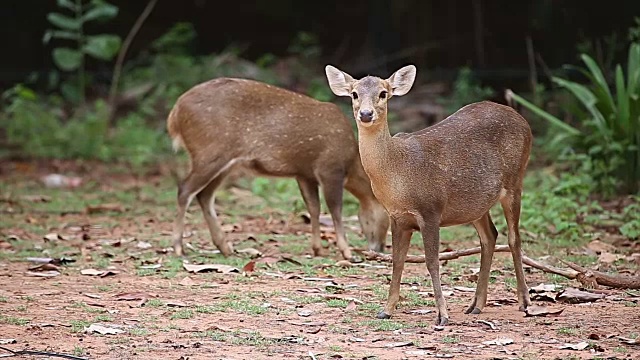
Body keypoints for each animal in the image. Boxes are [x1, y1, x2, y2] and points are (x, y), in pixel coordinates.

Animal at [168, 77, 390, 262]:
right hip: (209, 152)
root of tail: (175, 114)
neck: (351, 161)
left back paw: (226, 247)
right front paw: (348, 252)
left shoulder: (304, 174)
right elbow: (335, 209)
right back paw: (179, 247)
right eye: (386, 220)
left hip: (222, 162)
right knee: (185, 190)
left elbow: (314, 208)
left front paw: (317, 248)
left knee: (204, 195)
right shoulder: (330, 168)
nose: (379, 248)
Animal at [324, 64, 528, 326]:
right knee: (490, 236)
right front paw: (386, 310)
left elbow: (432, 262)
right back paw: (476, 305)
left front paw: (442, 315)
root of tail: (522, 120)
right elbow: (397, 261)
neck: (397, 173)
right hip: (475, 203)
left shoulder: (431, 210)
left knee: (514, 237)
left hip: (515, 182)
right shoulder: (398, 217)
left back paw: (524, 301)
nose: (366, 114)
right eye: (354, 94)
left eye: (383, 93)